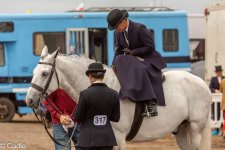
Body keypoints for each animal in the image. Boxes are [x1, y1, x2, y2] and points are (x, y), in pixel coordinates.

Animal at [25, 46, 212, 149]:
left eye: (45, 73)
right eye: (33, 72)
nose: (29, 100)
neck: (103, 86)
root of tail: (202, 83)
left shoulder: (119, 139)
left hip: (195, 129)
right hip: (182, 130)